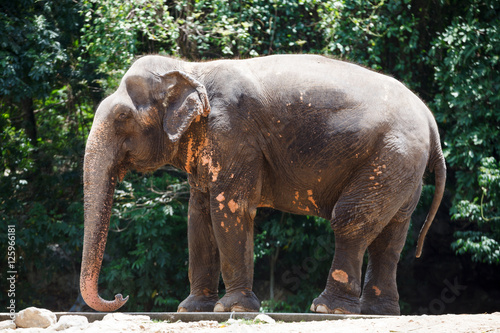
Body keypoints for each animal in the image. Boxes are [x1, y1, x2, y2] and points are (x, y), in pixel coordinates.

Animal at [81, 53, 446, 314]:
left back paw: (327, 308)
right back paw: (377, 312)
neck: (192, 68)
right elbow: (198, 216)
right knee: (392, 235)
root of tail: (431, 121)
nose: (120, 296)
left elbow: (230, 208)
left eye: (122, 117)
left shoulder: (232, 133)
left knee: (352, 222)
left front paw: (232, 308)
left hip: (391, 156)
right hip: (403, 167)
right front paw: (192, 309)